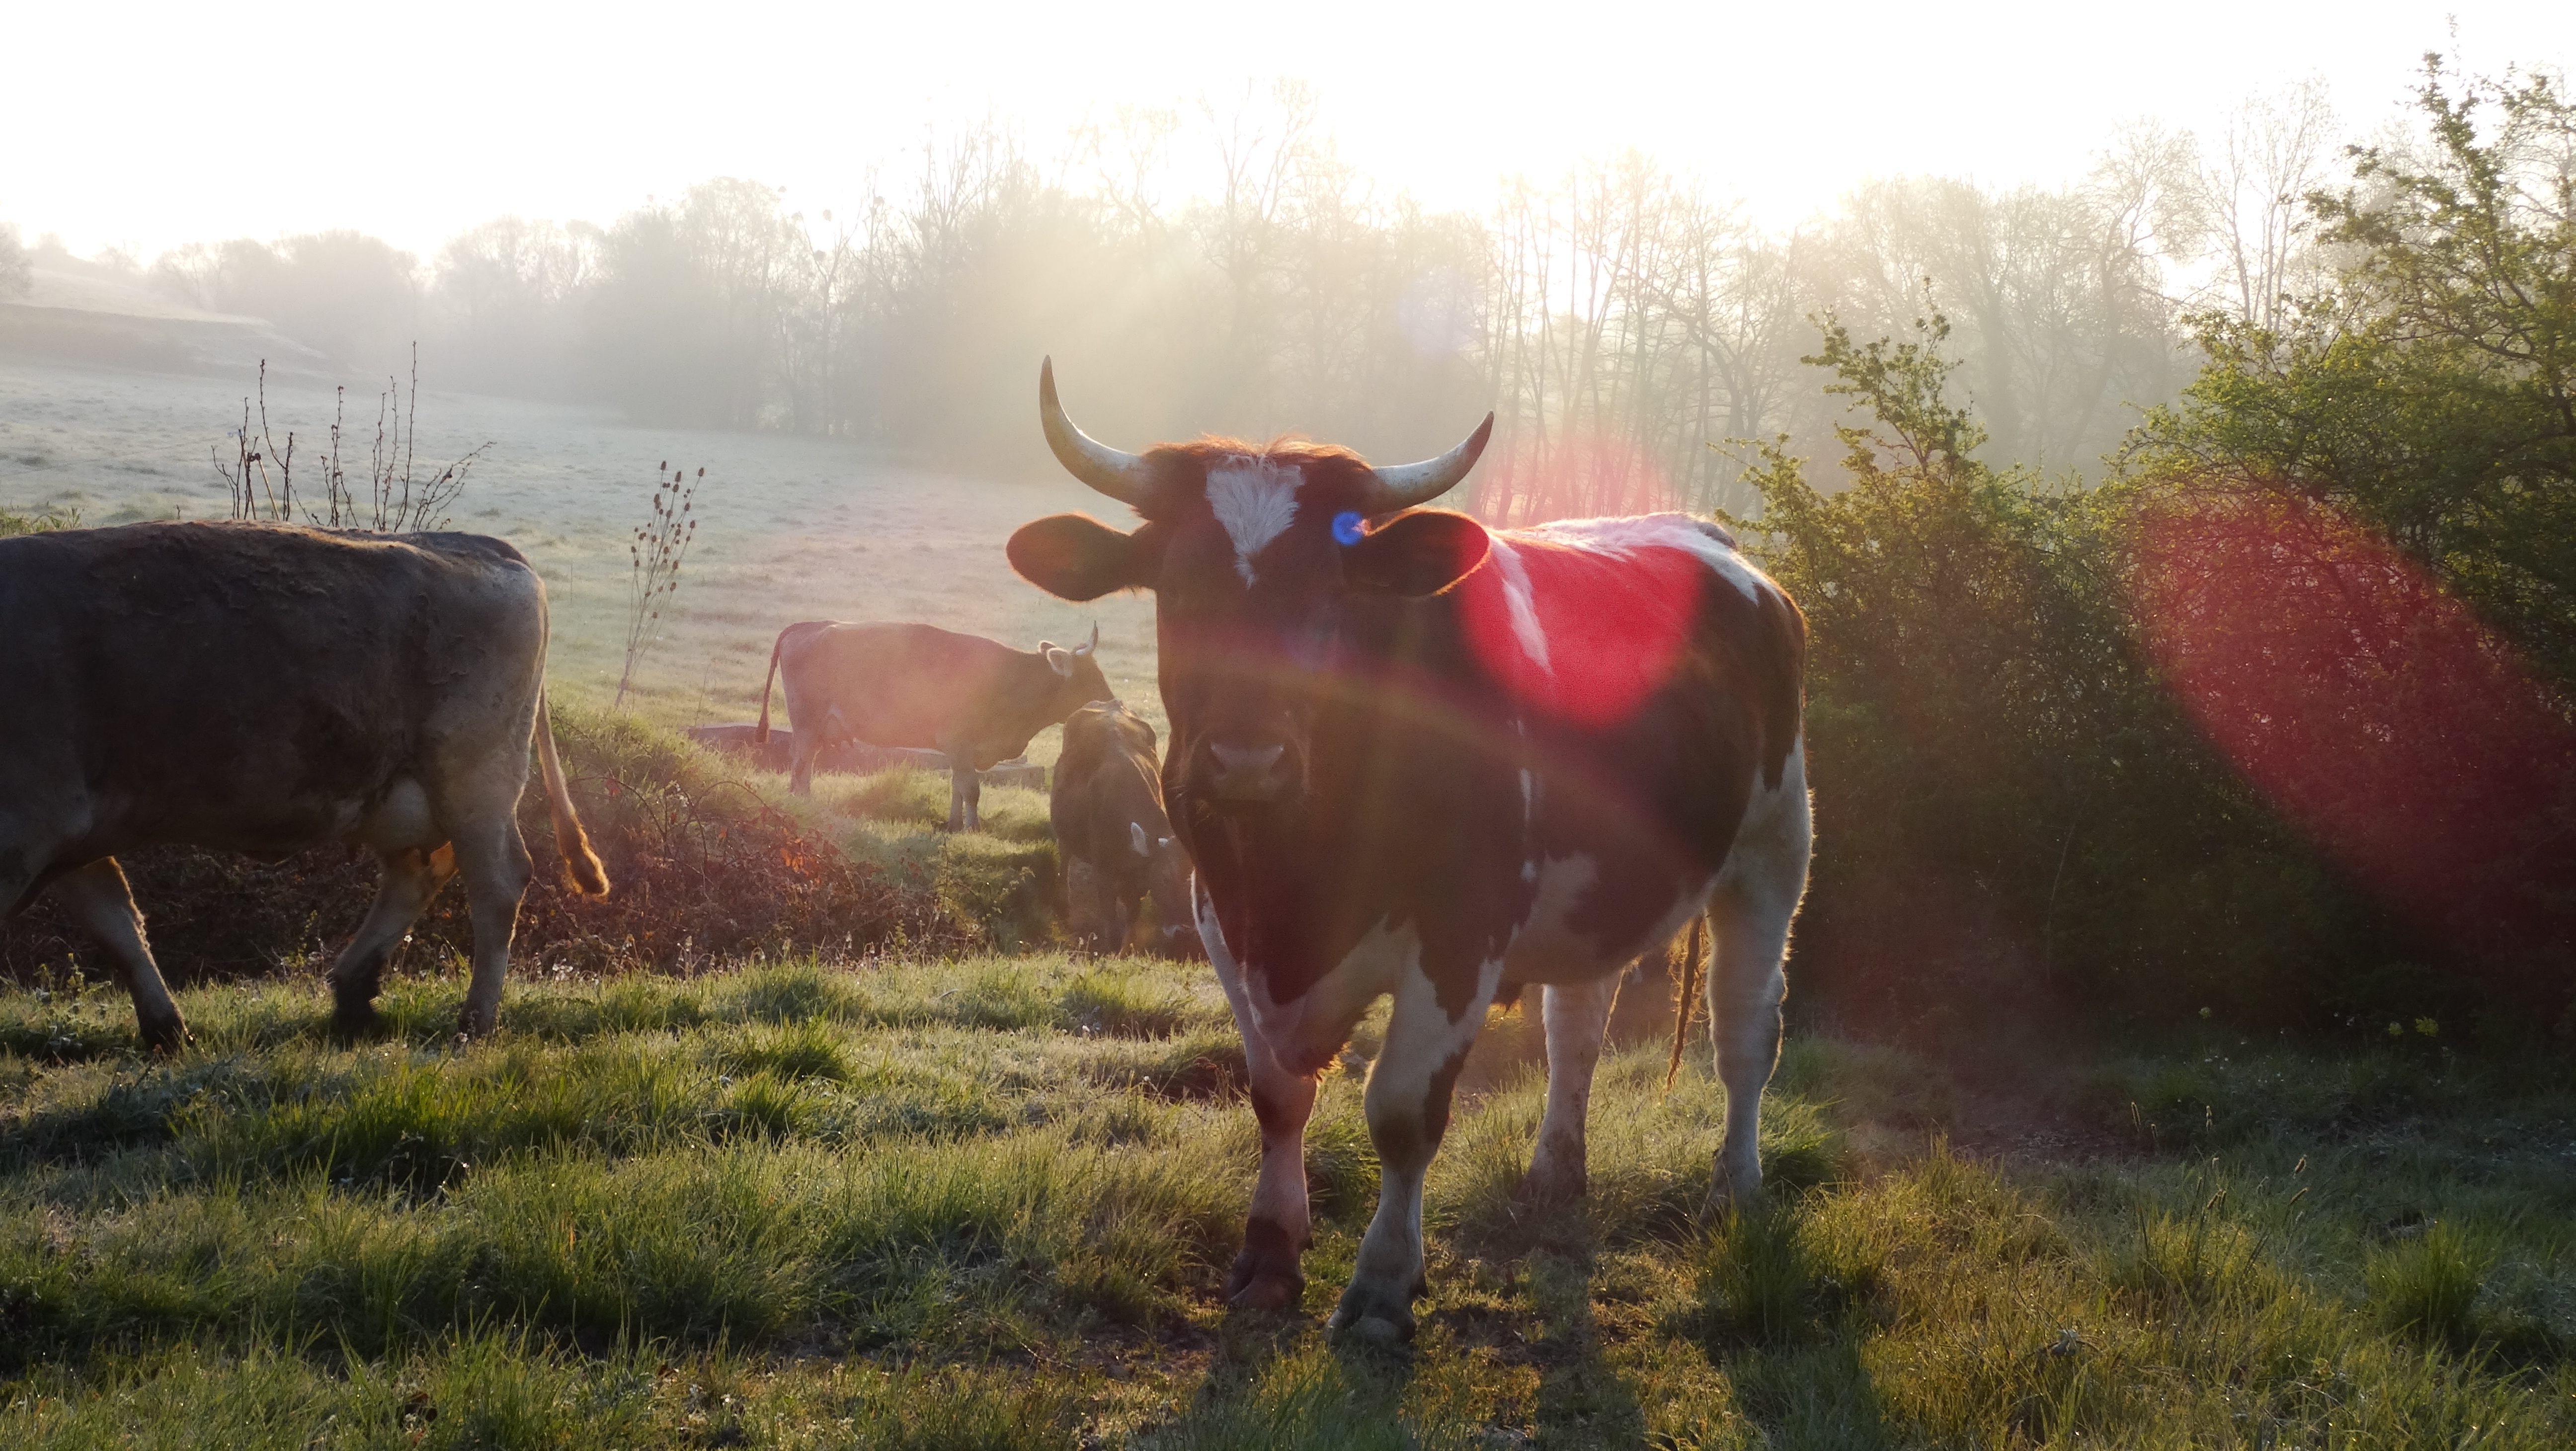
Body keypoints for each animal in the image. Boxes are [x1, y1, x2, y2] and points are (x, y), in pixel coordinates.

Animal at [0, 520, 608, 1046]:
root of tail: (482, 543)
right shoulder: (69, 835)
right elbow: (119, 927)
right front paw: (166, 1031)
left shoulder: (29, 827)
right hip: (404, 795)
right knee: (418, 872)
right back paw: (353, 994)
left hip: (473, 780)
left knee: (497, 884)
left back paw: (473, 1022)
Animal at [747, 618, 1108, 835]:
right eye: (1090, 678)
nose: (1111, 701)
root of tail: (812, 625)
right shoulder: (958, 741)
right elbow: (972, 789)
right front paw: (973, 830)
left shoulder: (961, 750)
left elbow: (958, 787)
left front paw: (954, 824)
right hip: (808, 722)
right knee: (800, 765)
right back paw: (802, 805)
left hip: (819, 728)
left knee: (804, 766)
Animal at [1051, 701, 1200, 959]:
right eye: (1163, 877)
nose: (1184, 933)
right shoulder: (1103, 876)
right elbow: (1110, 921)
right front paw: (1111, 951)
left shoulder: (1137, 883)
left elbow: (1132, 918)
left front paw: (1125, 951)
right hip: (1065, 836)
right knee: (1065, 858)